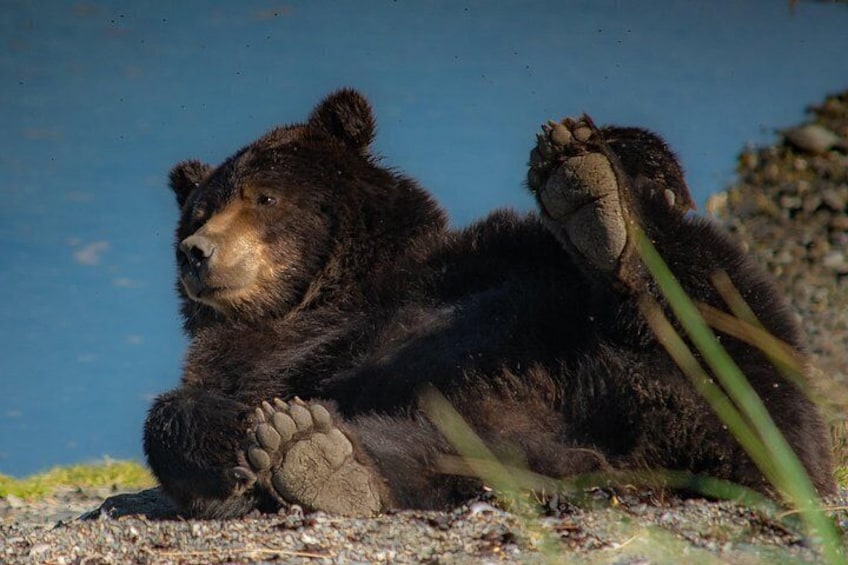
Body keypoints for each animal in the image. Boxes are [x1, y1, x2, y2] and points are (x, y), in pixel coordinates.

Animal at [143, 89, 835, 519]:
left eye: (264, 196)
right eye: (198, 211)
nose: (196, 252)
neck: (326, 296)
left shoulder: (480, 260)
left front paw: (592, 163)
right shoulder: (256, 359)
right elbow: (180, 412)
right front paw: (246, 431)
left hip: (714, 360)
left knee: (720, 318)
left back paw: (597, 207)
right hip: (483, 437)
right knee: (423, 456)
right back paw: (313, 454)